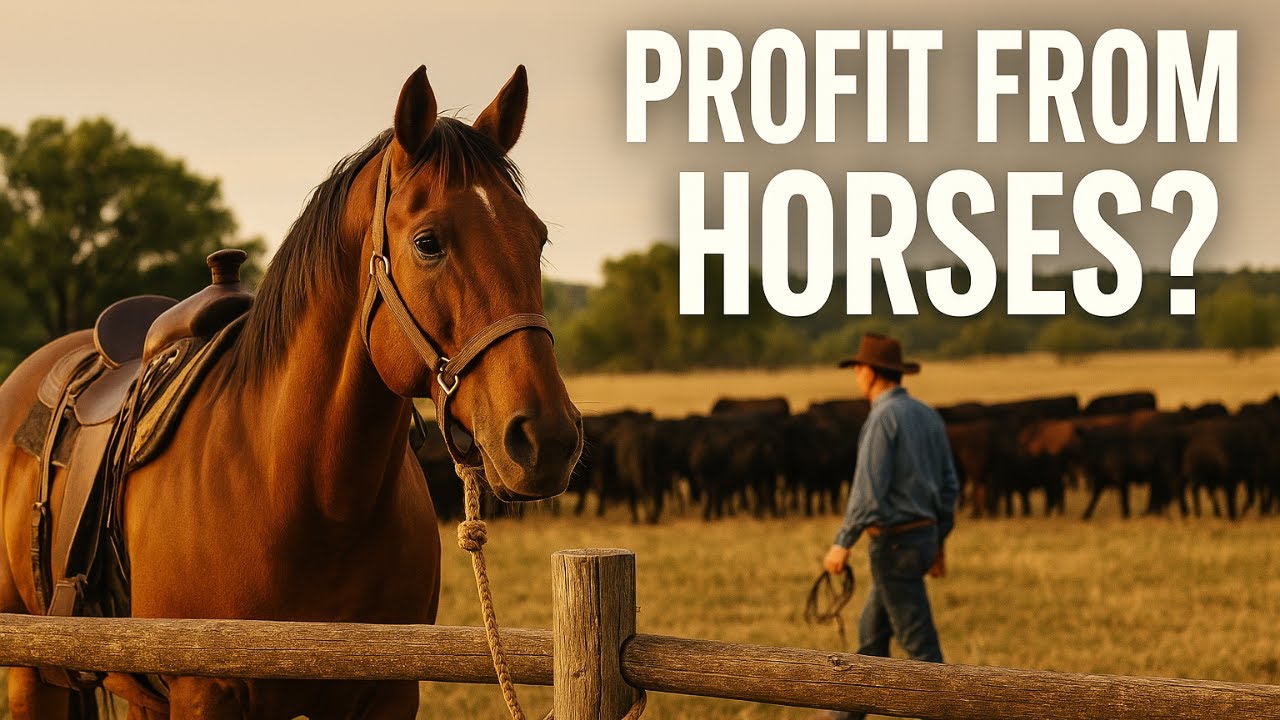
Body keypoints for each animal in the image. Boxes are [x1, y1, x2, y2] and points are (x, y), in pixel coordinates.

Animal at [0, 64, 583, 719]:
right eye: (428, 242)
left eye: (536, 238)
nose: (546, 437)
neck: (304, 493)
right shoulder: (205, 692)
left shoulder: (388, 692)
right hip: (31, 672)